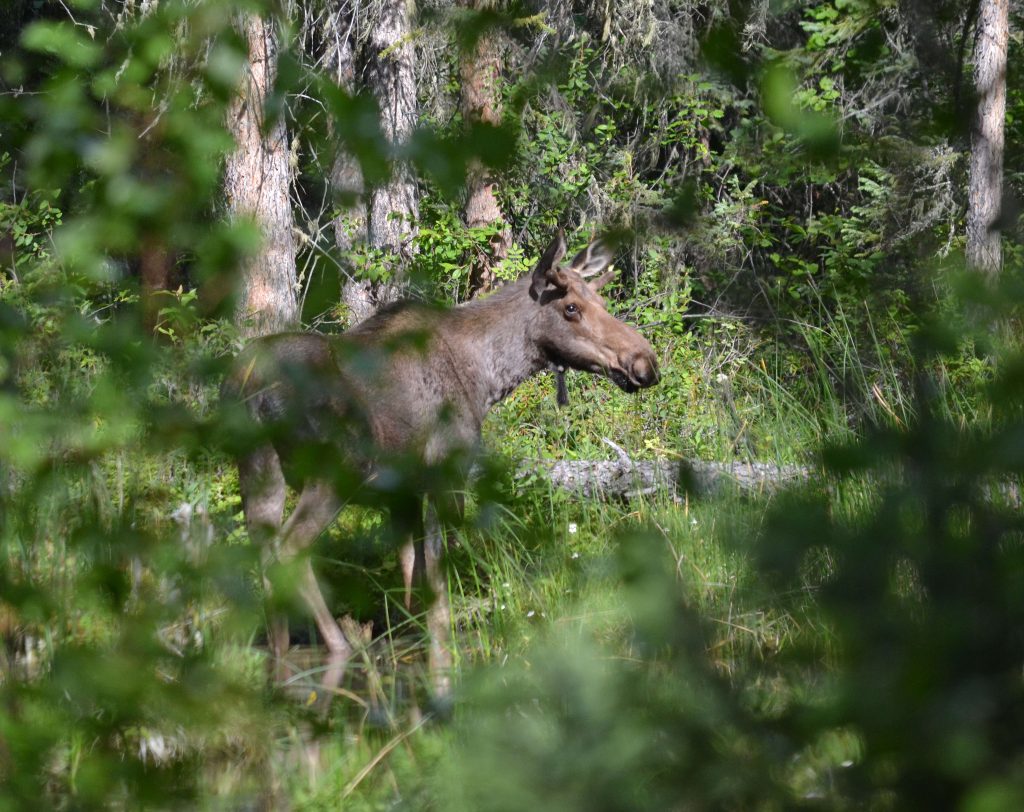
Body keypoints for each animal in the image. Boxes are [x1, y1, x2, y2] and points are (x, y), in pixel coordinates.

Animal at [220, 231, 659, 692]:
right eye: (571, 307)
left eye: (601, 300)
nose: (645, 362)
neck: (487, 377)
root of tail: (247, 377)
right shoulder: (447, 473)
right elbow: (439, 585)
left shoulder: (403, 492)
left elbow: (411, 577)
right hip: (335, 472)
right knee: (288, 549)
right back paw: (338, 648)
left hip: (257, 469)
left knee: (263, 553)